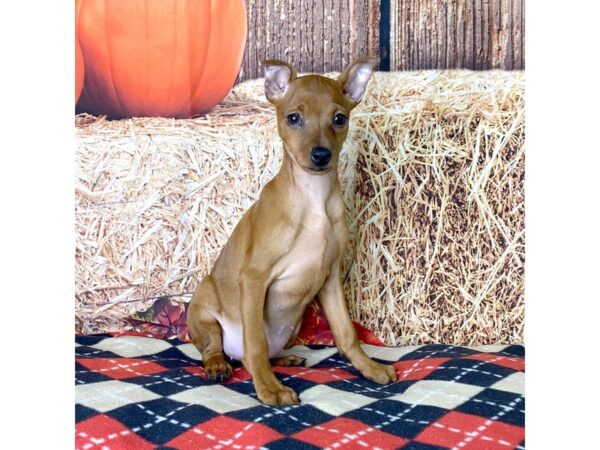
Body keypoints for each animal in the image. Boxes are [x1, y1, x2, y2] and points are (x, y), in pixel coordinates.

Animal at [185, 58, 396, 406]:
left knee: (265, 352)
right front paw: (269, 388)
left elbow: (347, 334)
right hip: (203, 305)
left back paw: (286, 358)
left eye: (339, 119)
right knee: (219, 350)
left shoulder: (330, 279)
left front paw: (369, 368)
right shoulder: (254, 279)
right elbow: (255, 344)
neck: (313, 198)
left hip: (295, 325)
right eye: (294, 118)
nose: (321, 155)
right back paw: (219, 364)